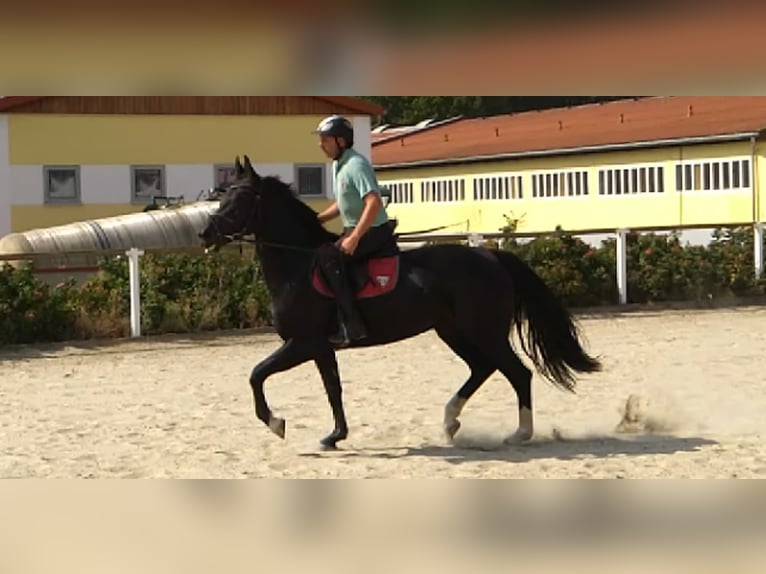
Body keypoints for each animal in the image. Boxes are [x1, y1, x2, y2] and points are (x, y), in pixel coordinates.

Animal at [200, 156, 608, 450]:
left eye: (238, 199)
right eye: (223, 195)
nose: (205, 233)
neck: (297, 265)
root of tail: (491, 257)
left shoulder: (303, 343)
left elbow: (257, 374)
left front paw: (277, 423)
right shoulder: (320, 348)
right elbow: (332, 389)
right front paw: (335, 436)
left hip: (483, 331)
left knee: (516, 373)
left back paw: (519, 434)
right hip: (453, 331)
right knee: (482, 368)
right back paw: (450, 421)